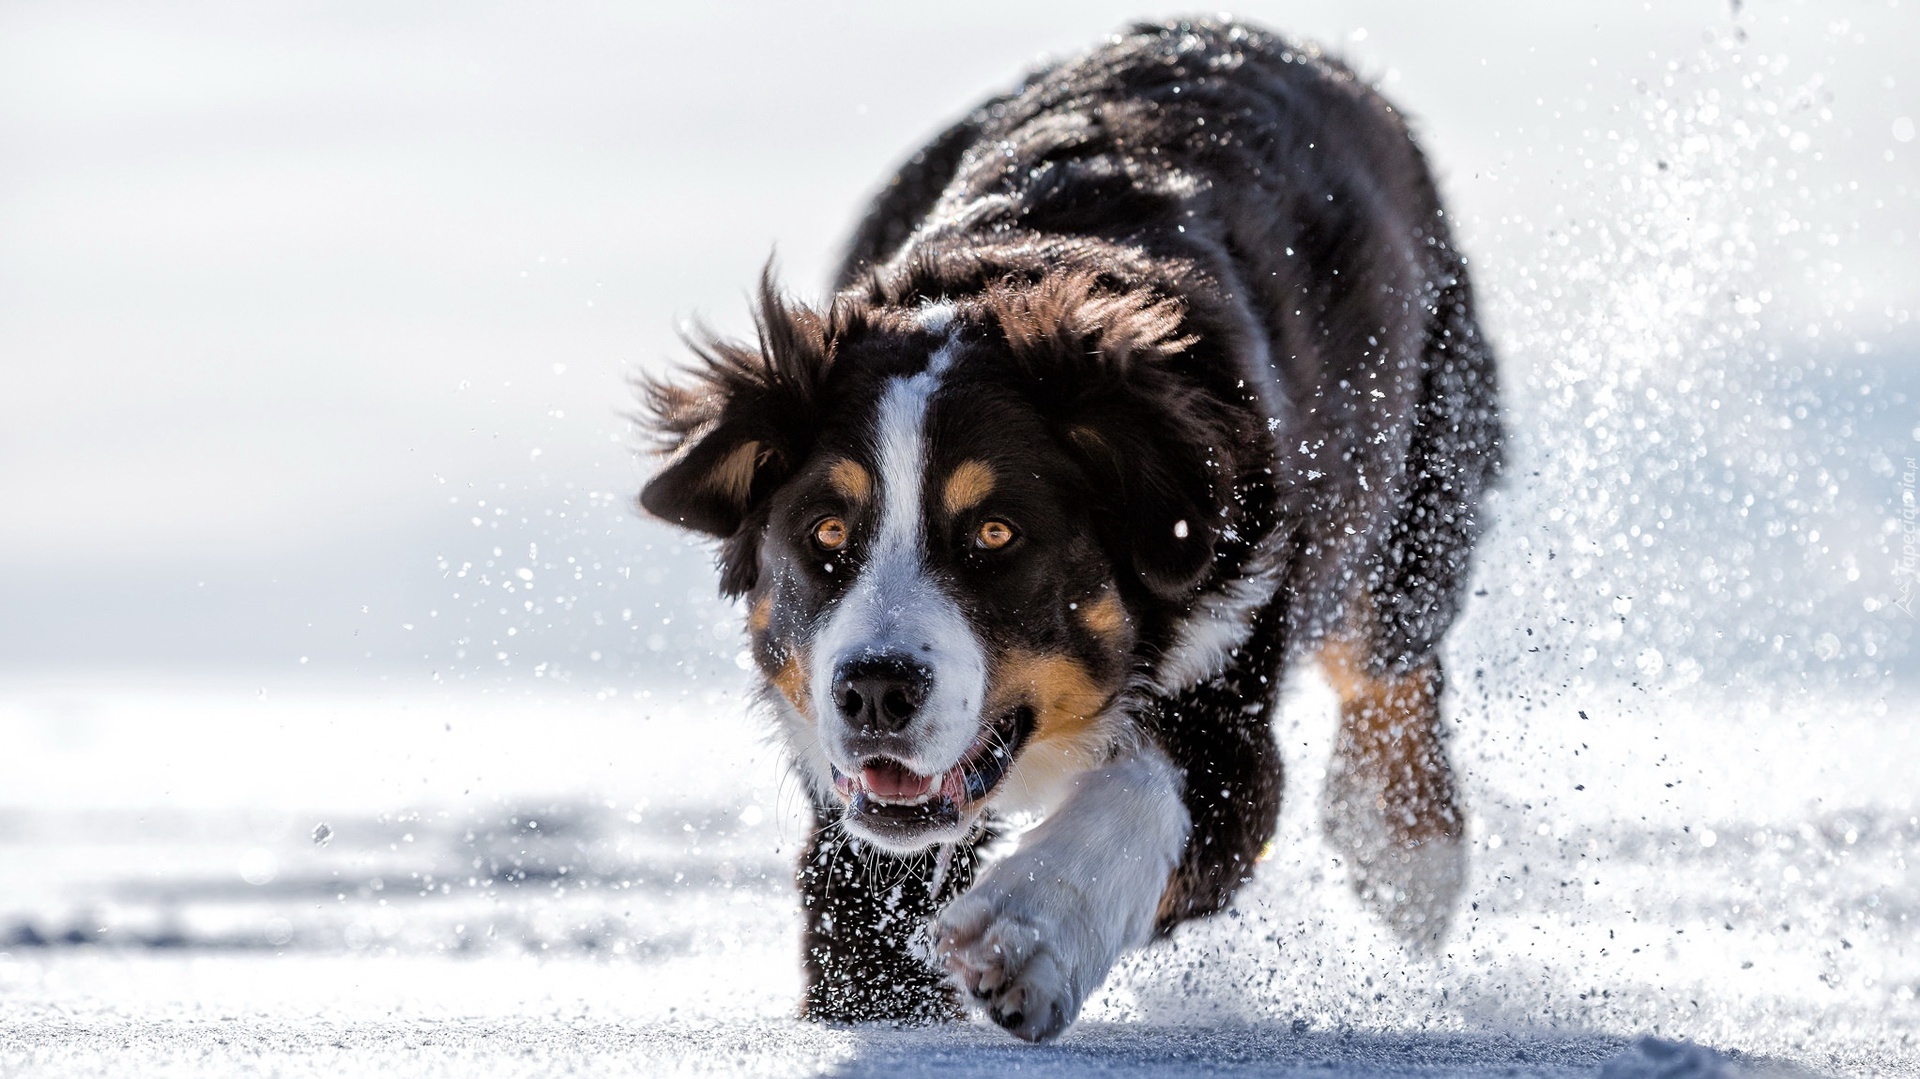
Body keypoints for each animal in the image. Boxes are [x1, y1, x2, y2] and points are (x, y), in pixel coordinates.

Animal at [641, 18, 1497, 1044]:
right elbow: (865, 929)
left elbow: (1144, 792)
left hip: (1420, 477)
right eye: (829, 531)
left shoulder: (1230, 681)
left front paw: (1025, 936)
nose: (876, 690)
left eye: (997, 533)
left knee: (1392, 659)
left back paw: (1408, 856)